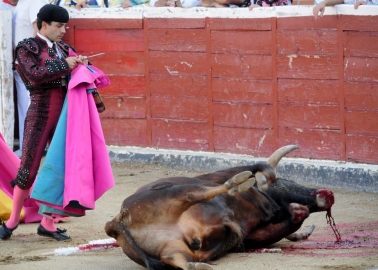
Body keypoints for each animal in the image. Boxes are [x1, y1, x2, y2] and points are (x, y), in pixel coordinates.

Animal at [105, 146, 334, 270]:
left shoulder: (250, 234)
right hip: (173, 194)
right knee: (194, 193)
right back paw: (236, 182)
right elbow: (256, 170)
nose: (327, 196)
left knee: (175, 259)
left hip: (173, 247)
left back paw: (198, 266)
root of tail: (116, 222)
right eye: (286, 181)